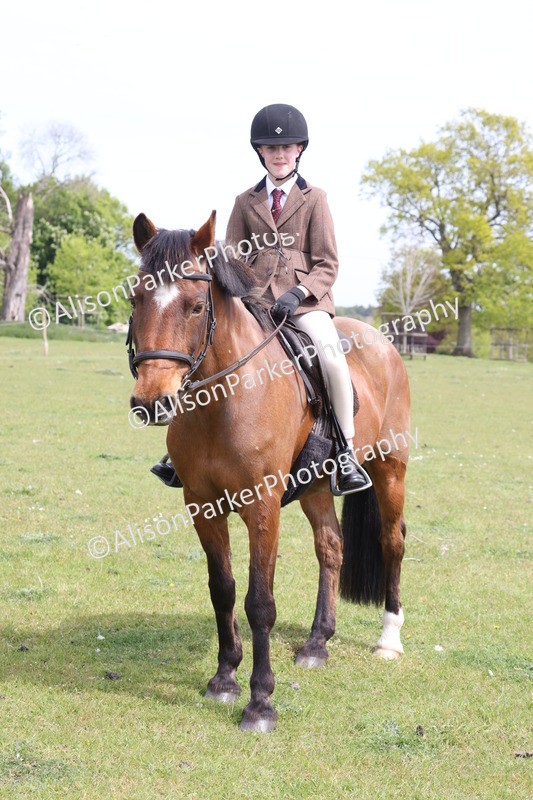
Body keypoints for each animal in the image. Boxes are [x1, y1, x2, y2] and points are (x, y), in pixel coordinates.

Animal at [128, 211, 411, 732]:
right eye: (136, 299)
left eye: (196, 306)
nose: (152, 402)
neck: (222, 402)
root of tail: (381, 340)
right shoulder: (202, 504)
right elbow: (222, 590)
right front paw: (224, 679)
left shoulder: (262, 506)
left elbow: (259, 601)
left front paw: (260, 702)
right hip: (317, 484)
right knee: (331, 546)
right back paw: (318, 643)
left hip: (390, 469)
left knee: (391, 542)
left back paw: (389, 640)